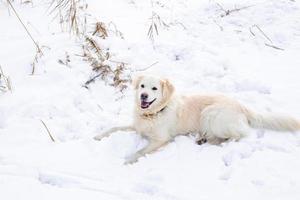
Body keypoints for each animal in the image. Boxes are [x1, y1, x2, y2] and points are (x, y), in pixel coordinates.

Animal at [94, 75, 300, 164]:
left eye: (154, 89)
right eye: (143, 86)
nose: (143, 96)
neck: (153, 113)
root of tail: (242, 106)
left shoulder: (161, 139)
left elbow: (141, 150)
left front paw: (129, 159)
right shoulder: (137, 127)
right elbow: (114, 128)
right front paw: (98, 136)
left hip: (210, 113)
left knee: (238, 135)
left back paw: (211, 142)